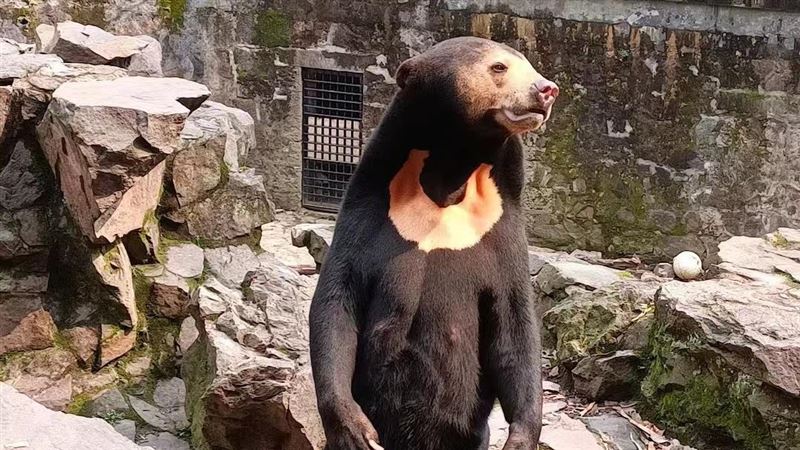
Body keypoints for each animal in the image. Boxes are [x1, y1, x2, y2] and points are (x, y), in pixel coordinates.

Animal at [309, 36, 559, 450]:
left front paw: (522, 436)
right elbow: (337, 301)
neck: (450, 172)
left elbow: (514, 324)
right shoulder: (369, 212)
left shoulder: (502, 230)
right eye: (499, 67)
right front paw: (355, 429)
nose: (547, 89)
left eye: (532, 65)